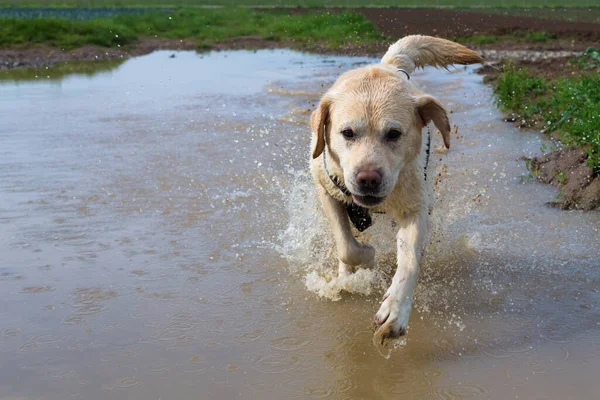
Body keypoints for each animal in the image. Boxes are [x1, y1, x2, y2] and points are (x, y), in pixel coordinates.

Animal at [310, 35, 482, 340]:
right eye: (347, 133)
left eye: (393, 134)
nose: (368, 178)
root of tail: (389, 65)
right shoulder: (325, 187)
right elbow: (346, 246)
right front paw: (365, 257)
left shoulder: (415, 208)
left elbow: (409, 261)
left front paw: (395, 311)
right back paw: (345, 275)